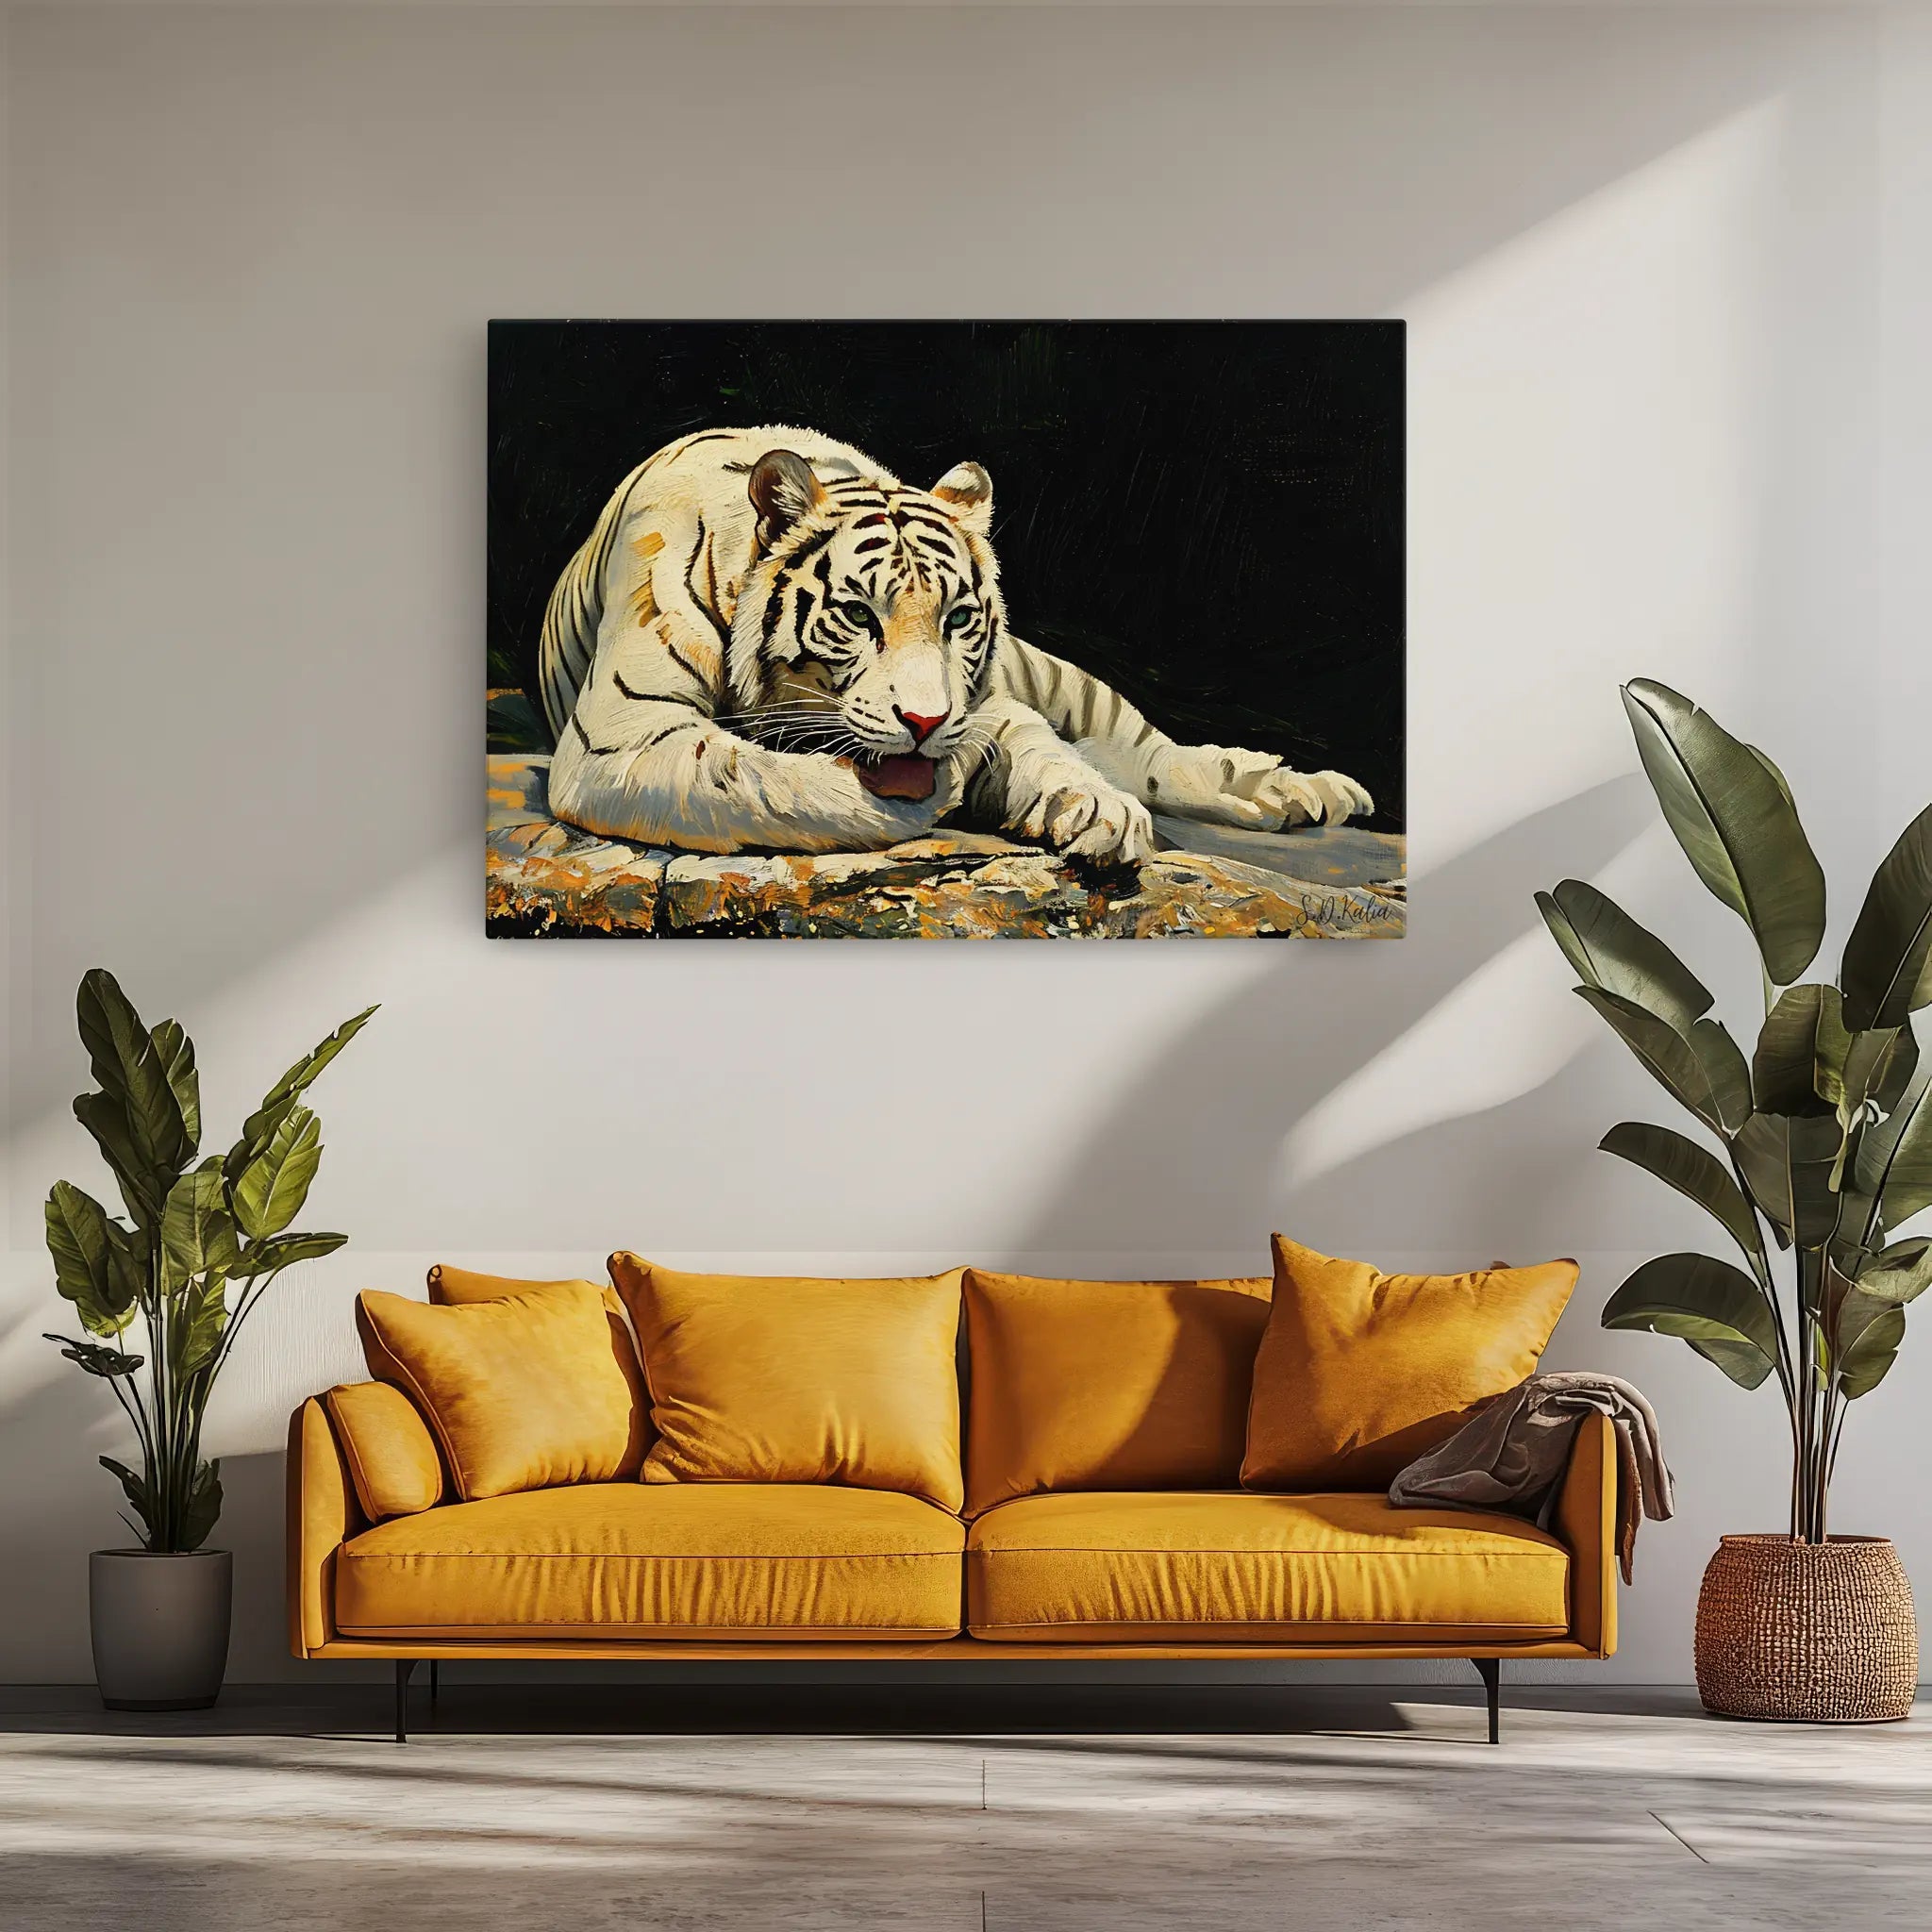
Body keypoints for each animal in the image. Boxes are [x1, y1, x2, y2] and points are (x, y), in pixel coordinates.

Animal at [538, 425, 1372, 863]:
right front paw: (940, 787)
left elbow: (1038, 741)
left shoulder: (994, 696)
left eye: (958, 621)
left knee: (1154, 753)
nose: (926, 723)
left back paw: (1305, 792)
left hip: (1053, 674)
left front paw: (1096, 808)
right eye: (859, 615)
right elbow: (754, 778)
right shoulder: (625, 736)